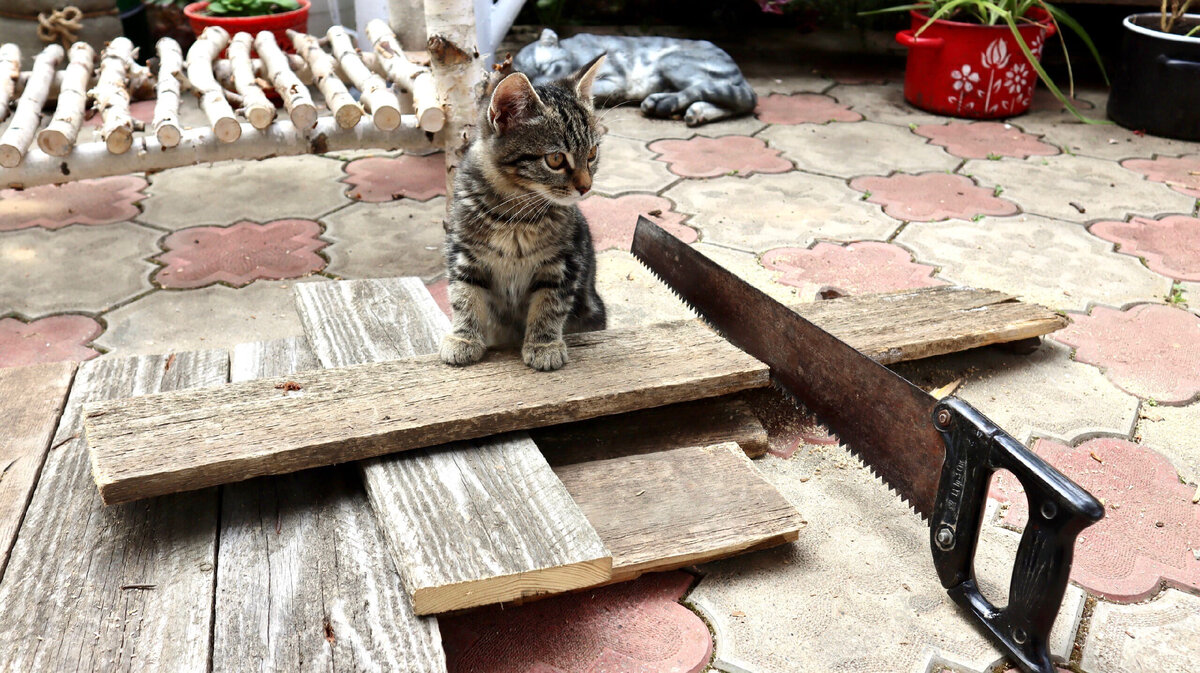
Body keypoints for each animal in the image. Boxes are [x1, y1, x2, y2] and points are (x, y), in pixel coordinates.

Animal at [441, 56, 609, 371]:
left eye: (592, 154)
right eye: (555, 159)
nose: (585, 187)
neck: (515, 214)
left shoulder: (564, 262)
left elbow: (550, 304)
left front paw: (544, 345)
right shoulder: (462, 253)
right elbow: (464, 296)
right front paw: (463, 338)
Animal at [511, 28, 753, 126]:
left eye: (548, 66)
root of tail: (741, 74)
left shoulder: (614, 79)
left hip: (672, 60)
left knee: (717, 91)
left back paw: (664, 102)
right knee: (736, 102)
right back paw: (698, 111)